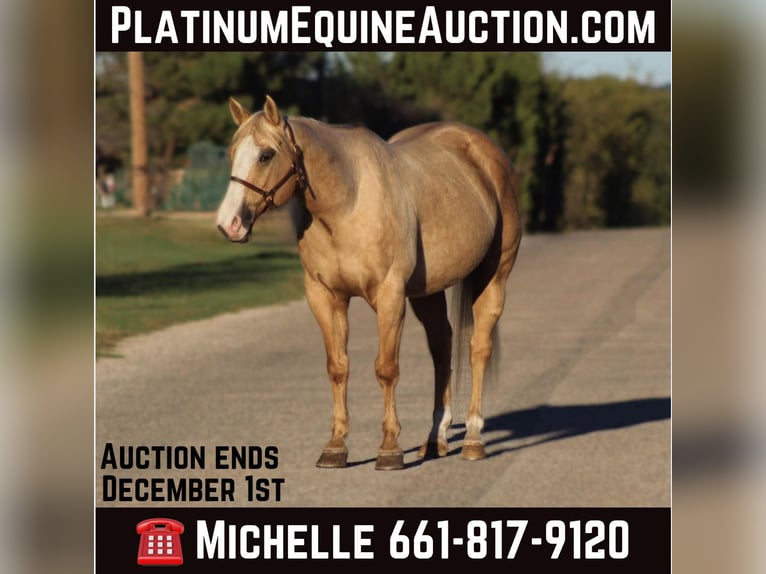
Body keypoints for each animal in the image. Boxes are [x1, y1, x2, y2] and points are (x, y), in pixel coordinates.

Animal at [216, 95, 522, 470]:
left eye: (265, 155)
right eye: (232, 153)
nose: (228, 223)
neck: (347, 203)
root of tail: (488, 154)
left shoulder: (389, 295)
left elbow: (386, 369)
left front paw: (389, 448)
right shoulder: (325, 296)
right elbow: (338, 367)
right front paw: (335, 446)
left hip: (493, 277)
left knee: (478, 348)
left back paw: (474, 439)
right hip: (428, 293)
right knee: (442, 347)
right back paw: (434, 438)